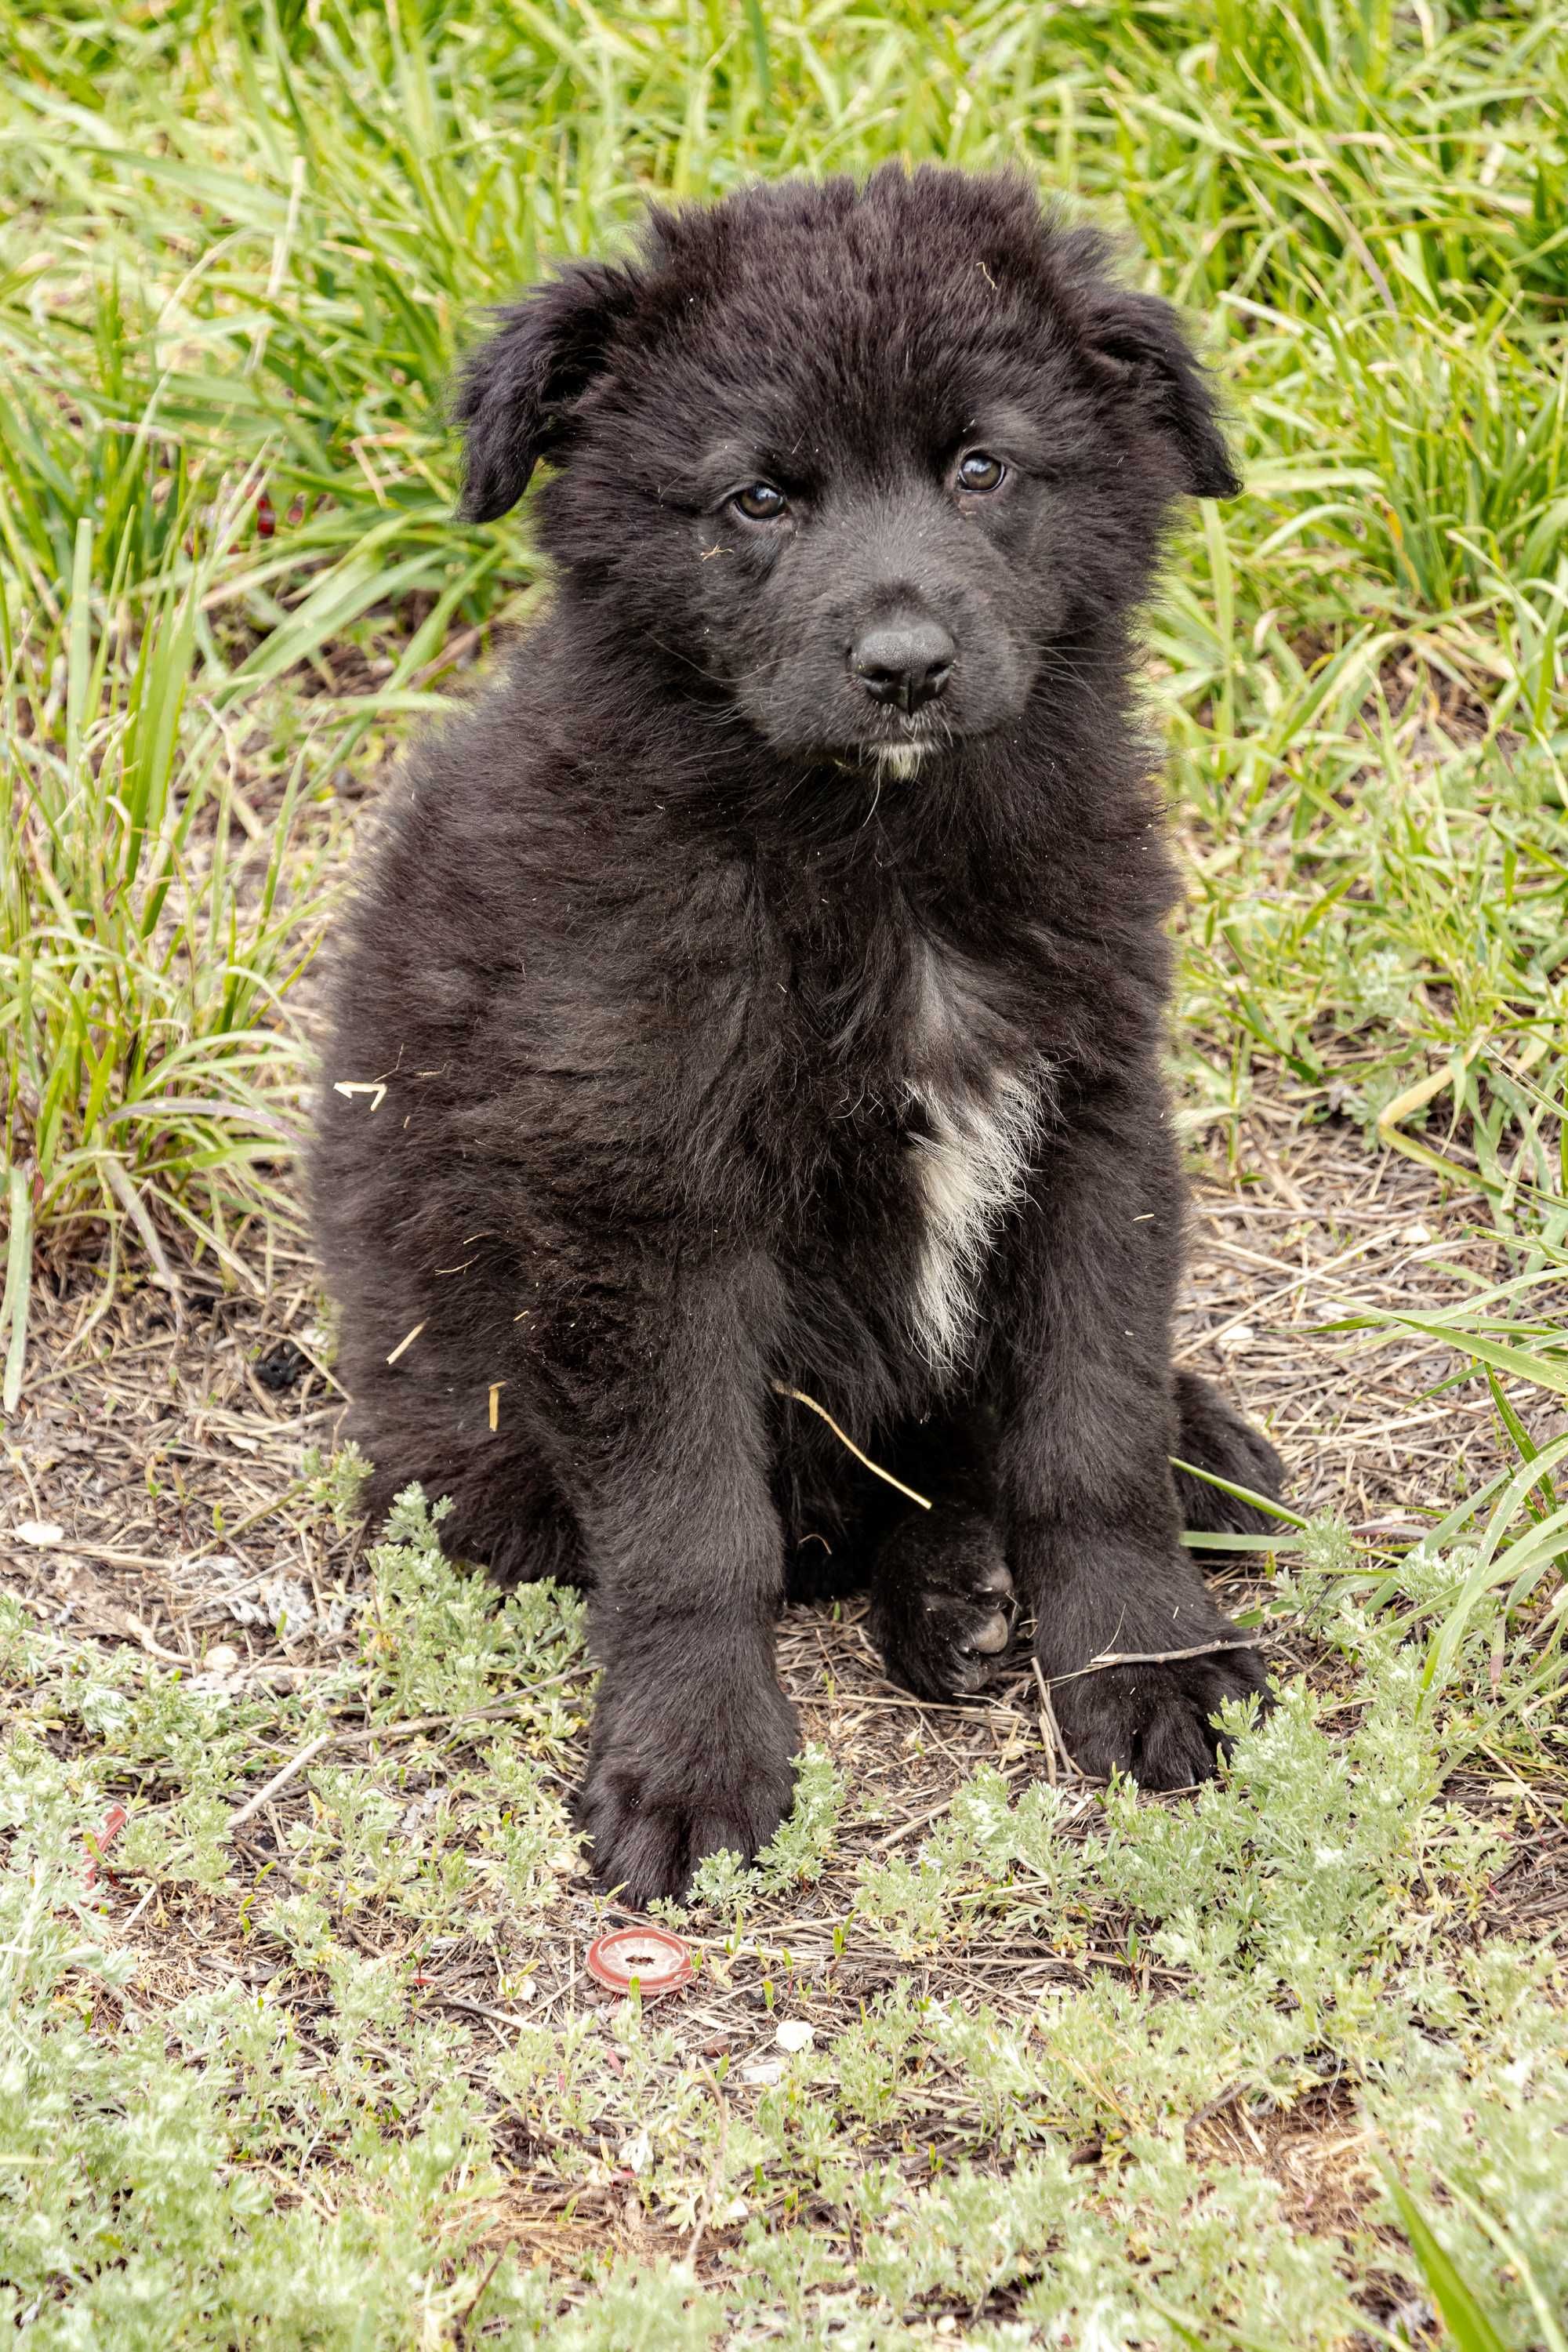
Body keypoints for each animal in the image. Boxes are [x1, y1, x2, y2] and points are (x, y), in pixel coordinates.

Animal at [312, 165, 1279, 1900]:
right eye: (758, 497)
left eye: (981, 468)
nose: (906, 667)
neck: (876, 860)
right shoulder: (648, 1192)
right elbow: (695, 1526)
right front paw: (695, 1757)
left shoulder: (1093, 1113)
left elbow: (1087, 1431)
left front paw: (1142, 1660)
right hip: (468, 1433)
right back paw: (948, 1590)